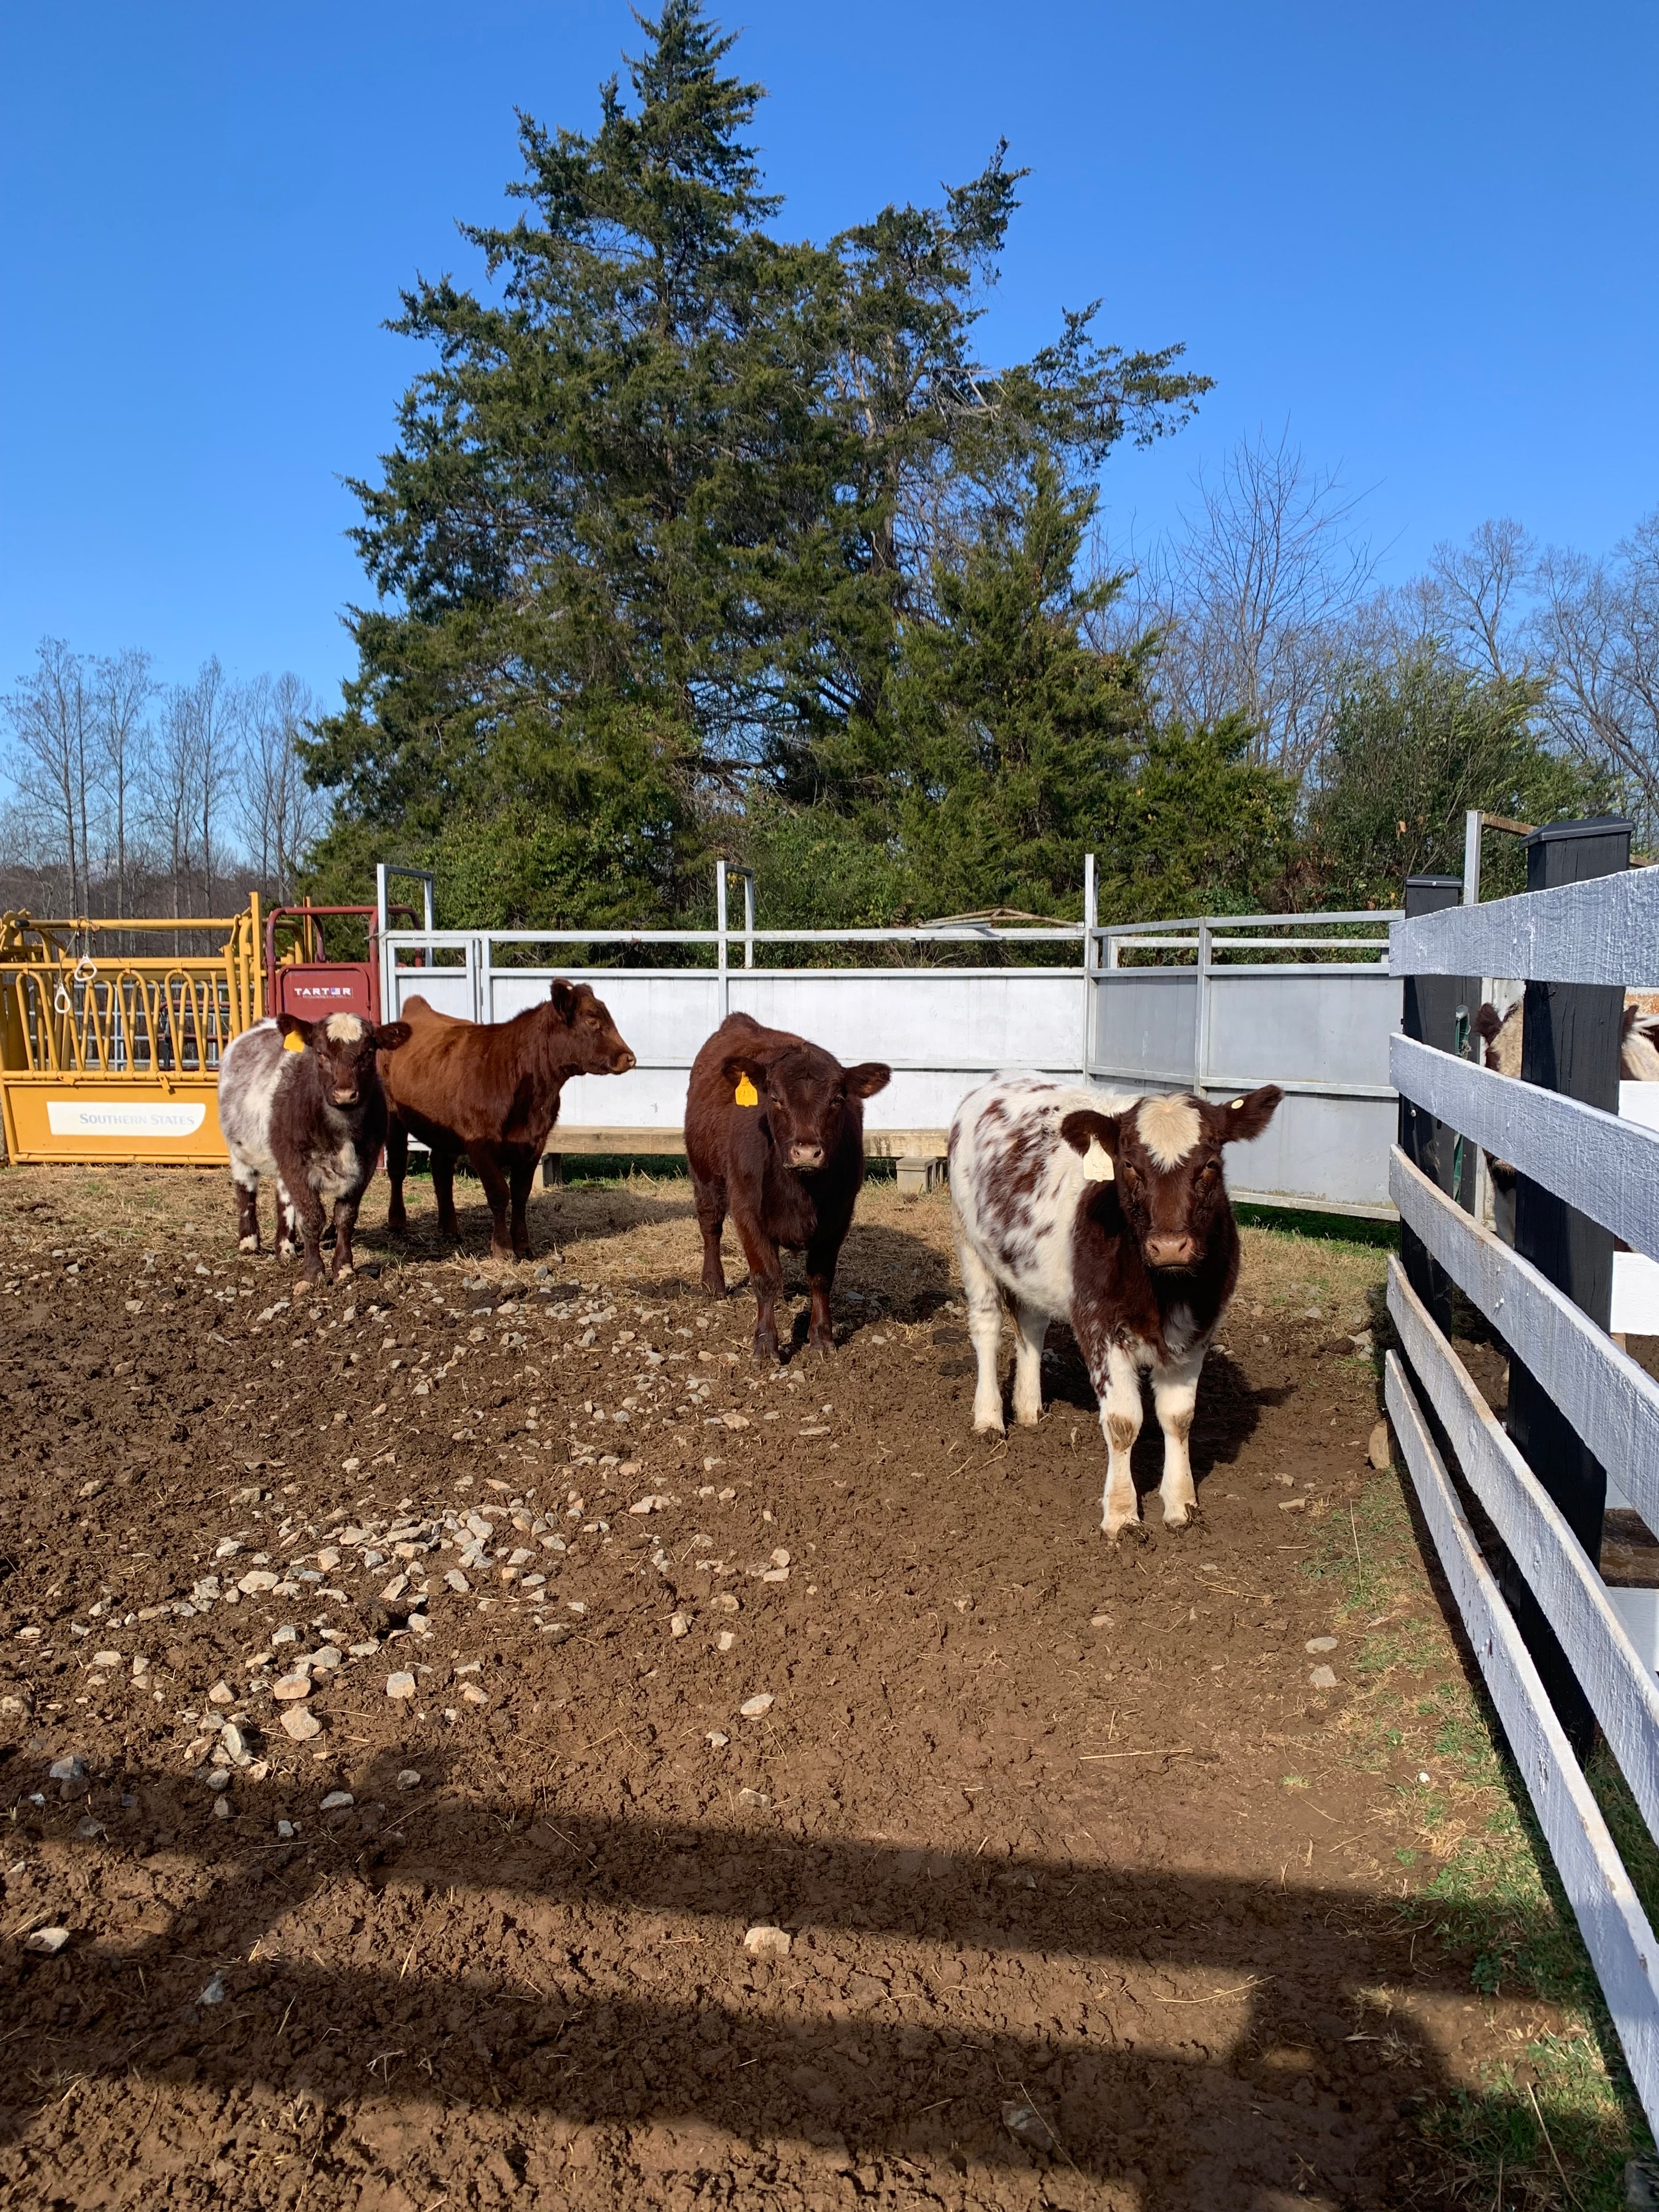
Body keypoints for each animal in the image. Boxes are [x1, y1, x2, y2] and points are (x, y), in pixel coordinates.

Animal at [218, 1010, 412, 1283]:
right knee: (246, 1190)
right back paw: (249, 1242)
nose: (345, 1094)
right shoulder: (295, 1162)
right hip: (239, 1150)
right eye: (320, 1053)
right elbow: (312, 1217)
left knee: (285, 1199)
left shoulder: (366, 1164)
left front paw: (343, 1267)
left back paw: (286, 1247)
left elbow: (345, 1217)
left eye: (368, 1052)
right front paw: (313, 1272)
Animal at [381, 982, 636, 1261]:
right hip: (392, 1117)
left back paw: (450, 1229)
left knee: (441, 1169)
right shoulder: (479, 1145)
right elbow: (499, 1194)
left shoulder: (535, 1143)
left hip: (444, 1132)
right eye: (592, 1021)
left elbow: (521, 1194)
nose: (629, 1057)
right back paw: (397, 1222)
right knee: (397, 1167)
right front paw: (503, 1248)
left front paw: (523, 1245)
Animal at [685, 1012, 891, 1364]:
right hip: (704, 1176)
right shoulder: (747, 1211)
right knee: (711, 1227)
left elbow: (820, 1277)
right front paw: (766, 1345)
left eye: (837, 1100)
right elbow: (765, 1277)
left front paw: (821, 1337)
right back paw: (713, 1284)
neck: (799, 1192)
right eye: (775, 1099)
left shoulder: (839, 1215)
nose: (806, 1152)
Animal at [949, 1075, 1282, 1539]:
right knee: (986, 1326)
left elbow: (1179, 1417)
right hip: (968, 1240)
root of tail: (1003, 1079)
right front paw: (1123, 1515)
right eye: (1128, 1165)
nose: (1170, 1247)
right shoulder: (1098, 1324)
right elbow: (1124, 1422)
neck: (1164, 1292)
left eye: (1211, 1164)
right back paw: (989, 1418)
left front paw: (1181, 1504)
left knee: (1032, 1325)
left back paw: (1030, 1409)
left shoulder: (1198, 1330)